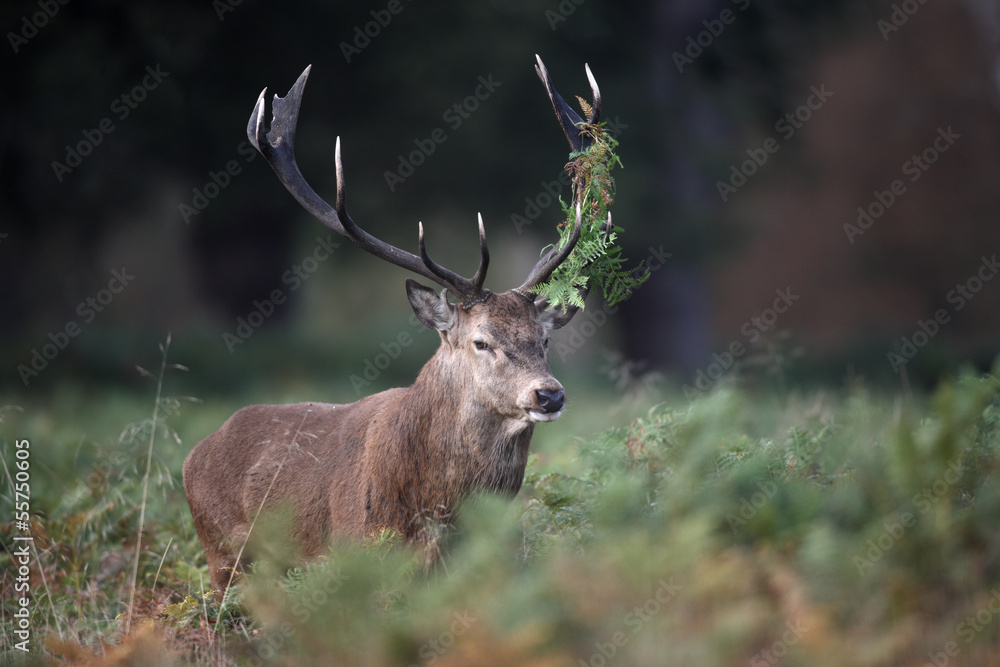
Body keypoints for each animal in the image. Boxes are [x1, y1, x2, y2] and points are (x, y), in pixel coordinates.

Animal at [183, 56, 607, 596]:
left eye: (545, 340)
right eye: (480, 342)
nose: (549, 394)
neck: (436, 511)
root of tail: (195, 454)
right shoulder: (355, 551)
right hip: (222, 554)